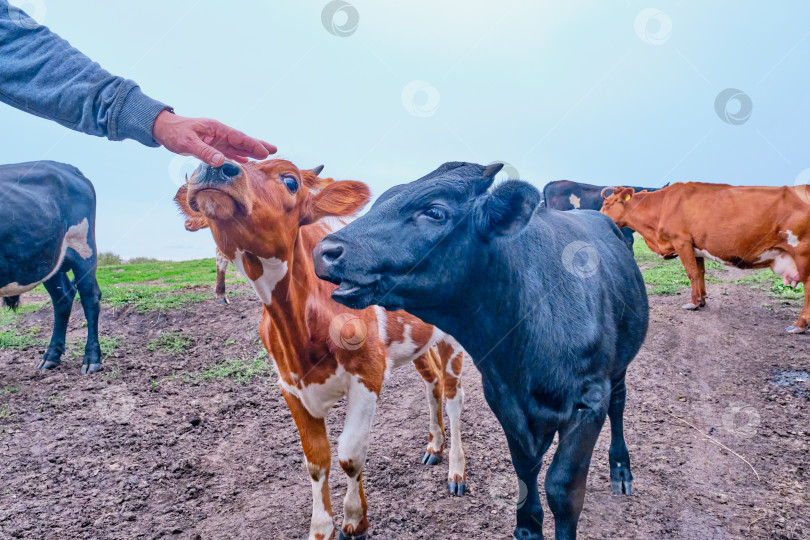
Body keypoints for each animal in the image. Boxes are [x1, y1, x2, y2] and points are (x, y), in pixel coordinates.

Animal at [0, 160, 102, 372]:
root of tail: (68, 167)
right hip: (47, 260)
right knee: (63, 298)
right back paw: (51, 356)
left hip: (83, 248)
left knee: (90, 298)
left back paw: (92, 359)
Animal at [177, 158, 468, 536]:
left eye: (290, 181)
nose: (215, 167)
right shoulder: (290, 386)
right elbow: (317, 460)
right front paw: (321, 527)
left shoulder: (368, 374)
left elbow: (350, 454)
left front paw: (355, 520)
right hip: (416, 341)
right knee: (432, 383)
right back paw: (435, 445)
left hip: (453, 338)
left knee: (453, 397)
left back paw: (457, 472)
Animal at [312, 162, 648, 536]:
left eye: (434, 211)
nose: (325, 251)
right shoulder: (503, 398)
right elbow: (525, 468)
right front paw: (527, 528)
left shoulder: (588, 402)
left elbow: (562, 488)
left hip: (619, 367)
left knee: (619, 404)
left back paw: (621, 469)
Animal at [600, 182, 808, 334]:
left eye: (607, 204)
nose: (597, 216)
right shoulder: (696, 248)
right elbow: (700, 273)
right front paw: (701, 300)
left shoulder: (682, 241)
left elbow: (691, 272)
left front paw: (692, 303)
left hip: (802, 254)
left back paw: (799, 325)